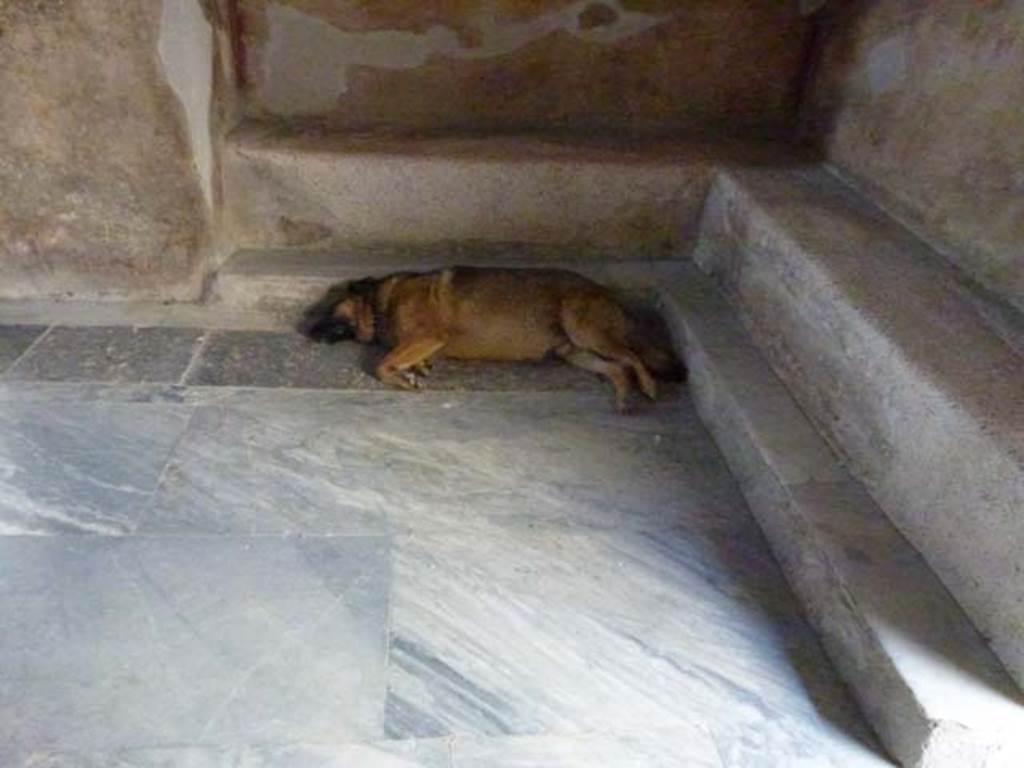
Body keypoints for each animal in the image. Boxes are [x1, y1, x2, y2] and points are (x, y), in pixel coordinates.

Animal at [296, 268, 679, 411]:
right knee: (618, 369)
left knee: (632, 357)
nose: (305, 330)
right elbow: (401, 360)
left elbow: (381, 364)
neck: (380, 304)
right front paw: (413, 371)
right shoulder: (422, 344)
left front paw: (402, 378)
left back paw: (648, 386)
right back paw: (624, 399)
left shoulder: (428, 335)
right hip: (574, 351)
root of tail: (606, 293)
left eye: (327, 307)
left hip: (582, 328)